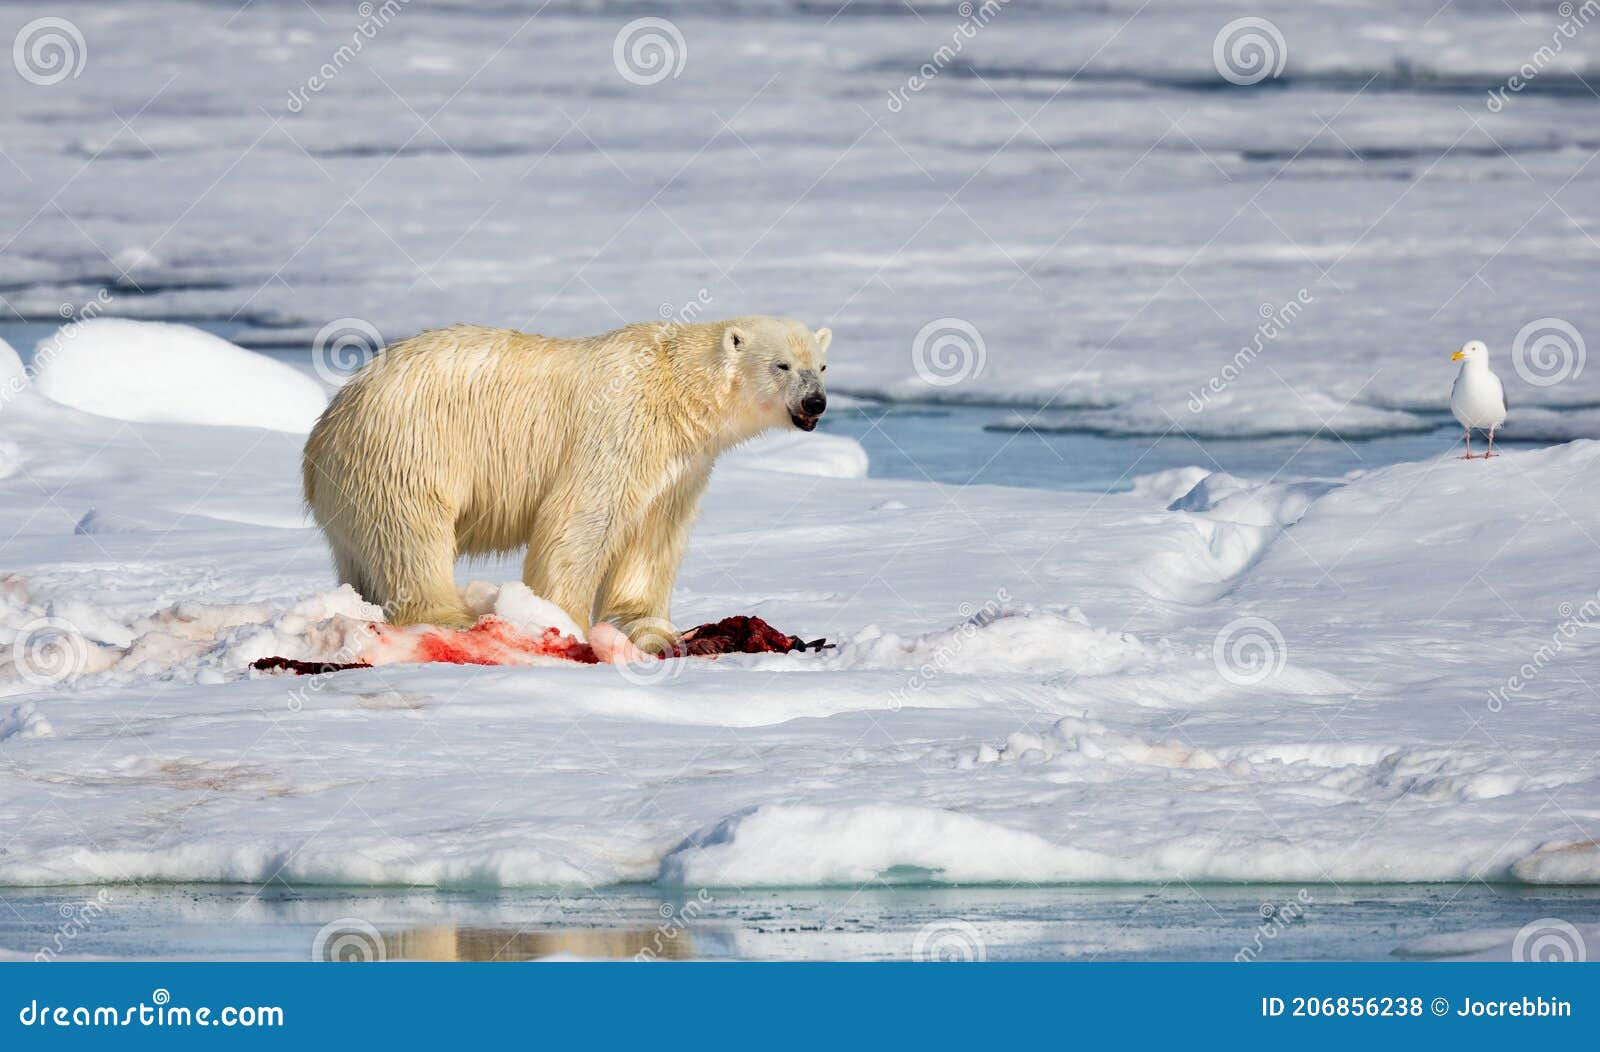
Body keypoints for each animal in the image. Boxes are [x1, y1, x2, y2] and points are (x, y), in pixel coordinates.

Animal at [301, 315, 831, 651]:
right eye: (782, 364)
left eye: (822, 366)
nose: (817, 402)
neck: (675, 387)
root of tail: (325, 430)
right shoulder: (620, 427)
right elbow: (581, 519)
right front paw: (561, 621)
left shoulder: (682, 465)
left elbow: (653, 534)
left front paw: (647, 628)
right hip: (404, 449)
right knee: (412, 536)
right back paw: (449, 616)